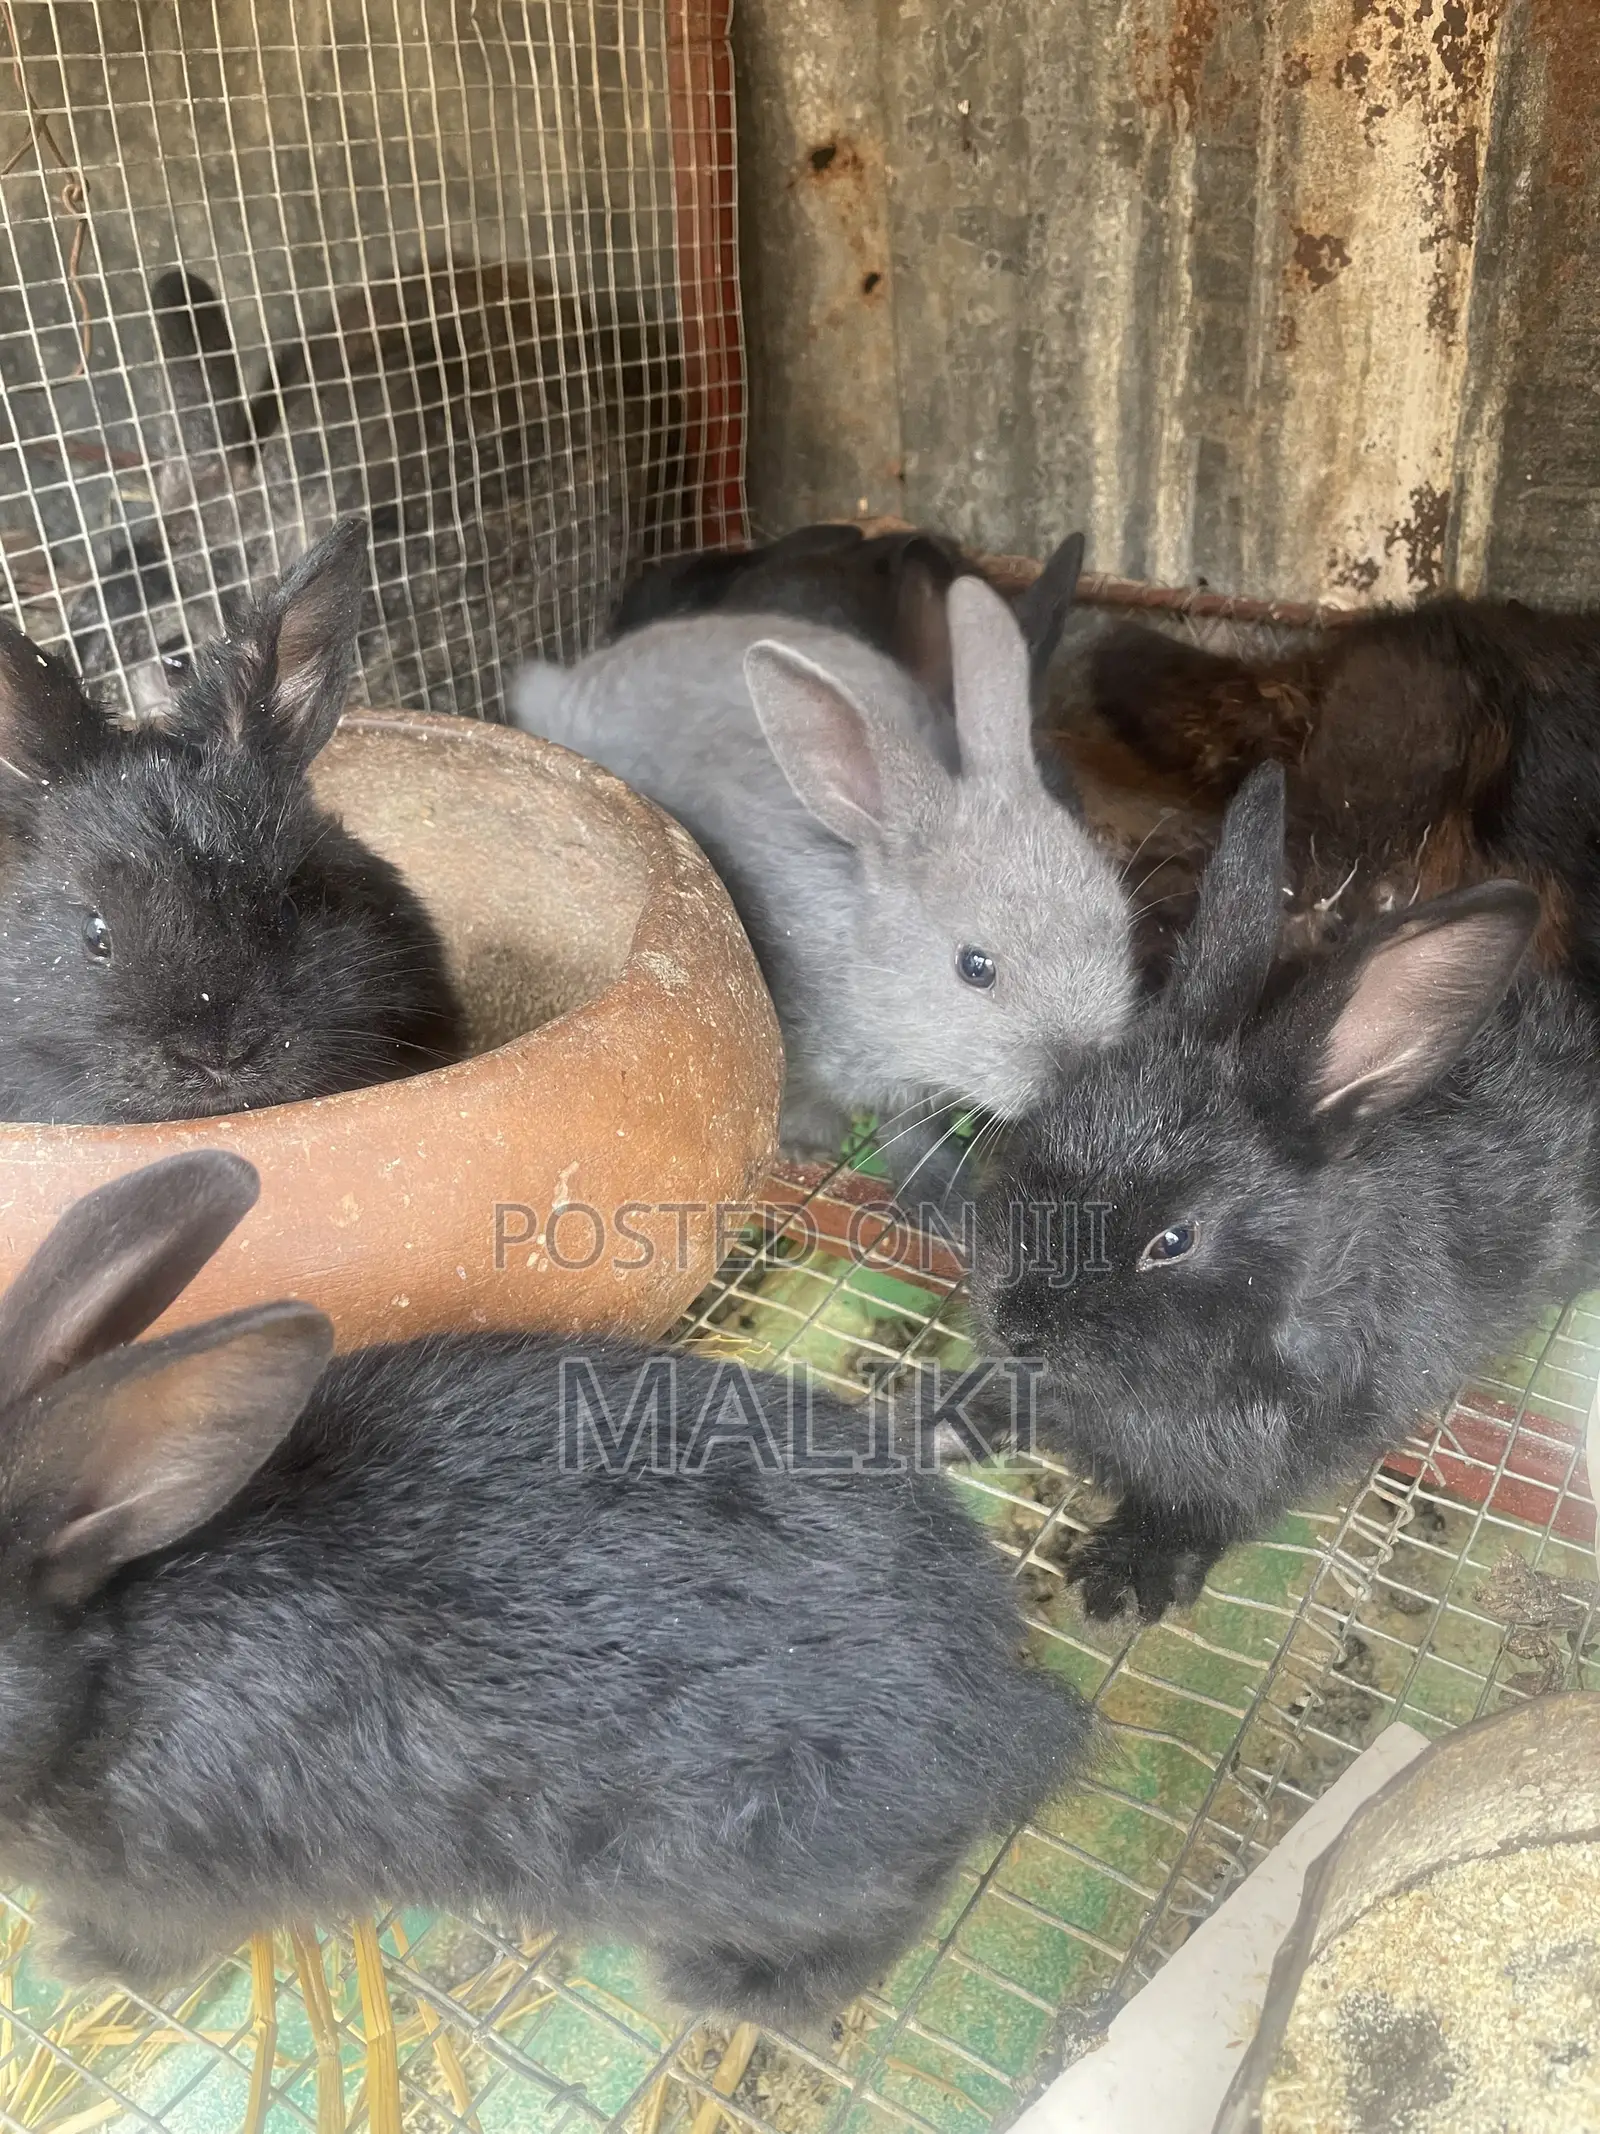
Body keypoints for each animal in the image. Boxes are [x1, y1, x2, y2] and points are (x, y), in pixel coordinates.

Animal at [0, 1149, 1092, 2023]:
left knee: (878, 1921)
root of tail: (997, 1703)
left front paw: (76, 1959)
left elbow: (153, 1945)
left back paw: (725, 1990)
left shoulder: (175, 1887)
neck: (103, 1673)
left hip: (771, 1869)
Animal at [512, 570, 1133, 1228]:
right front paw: (807, 1146)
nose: (1078, 1070)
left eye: (1118, 919)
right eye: (975, 967)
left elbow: (911, 1135)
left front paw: (944, 1201)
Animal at [968, 761, 1600, 1624]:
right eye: (1042, 1128)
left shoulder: (1274, 1452)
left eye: (1174, 1241)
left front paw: (1126, 1575)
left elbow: (1206, 1510)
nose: (1013, 1328)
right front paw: (966, 1414)